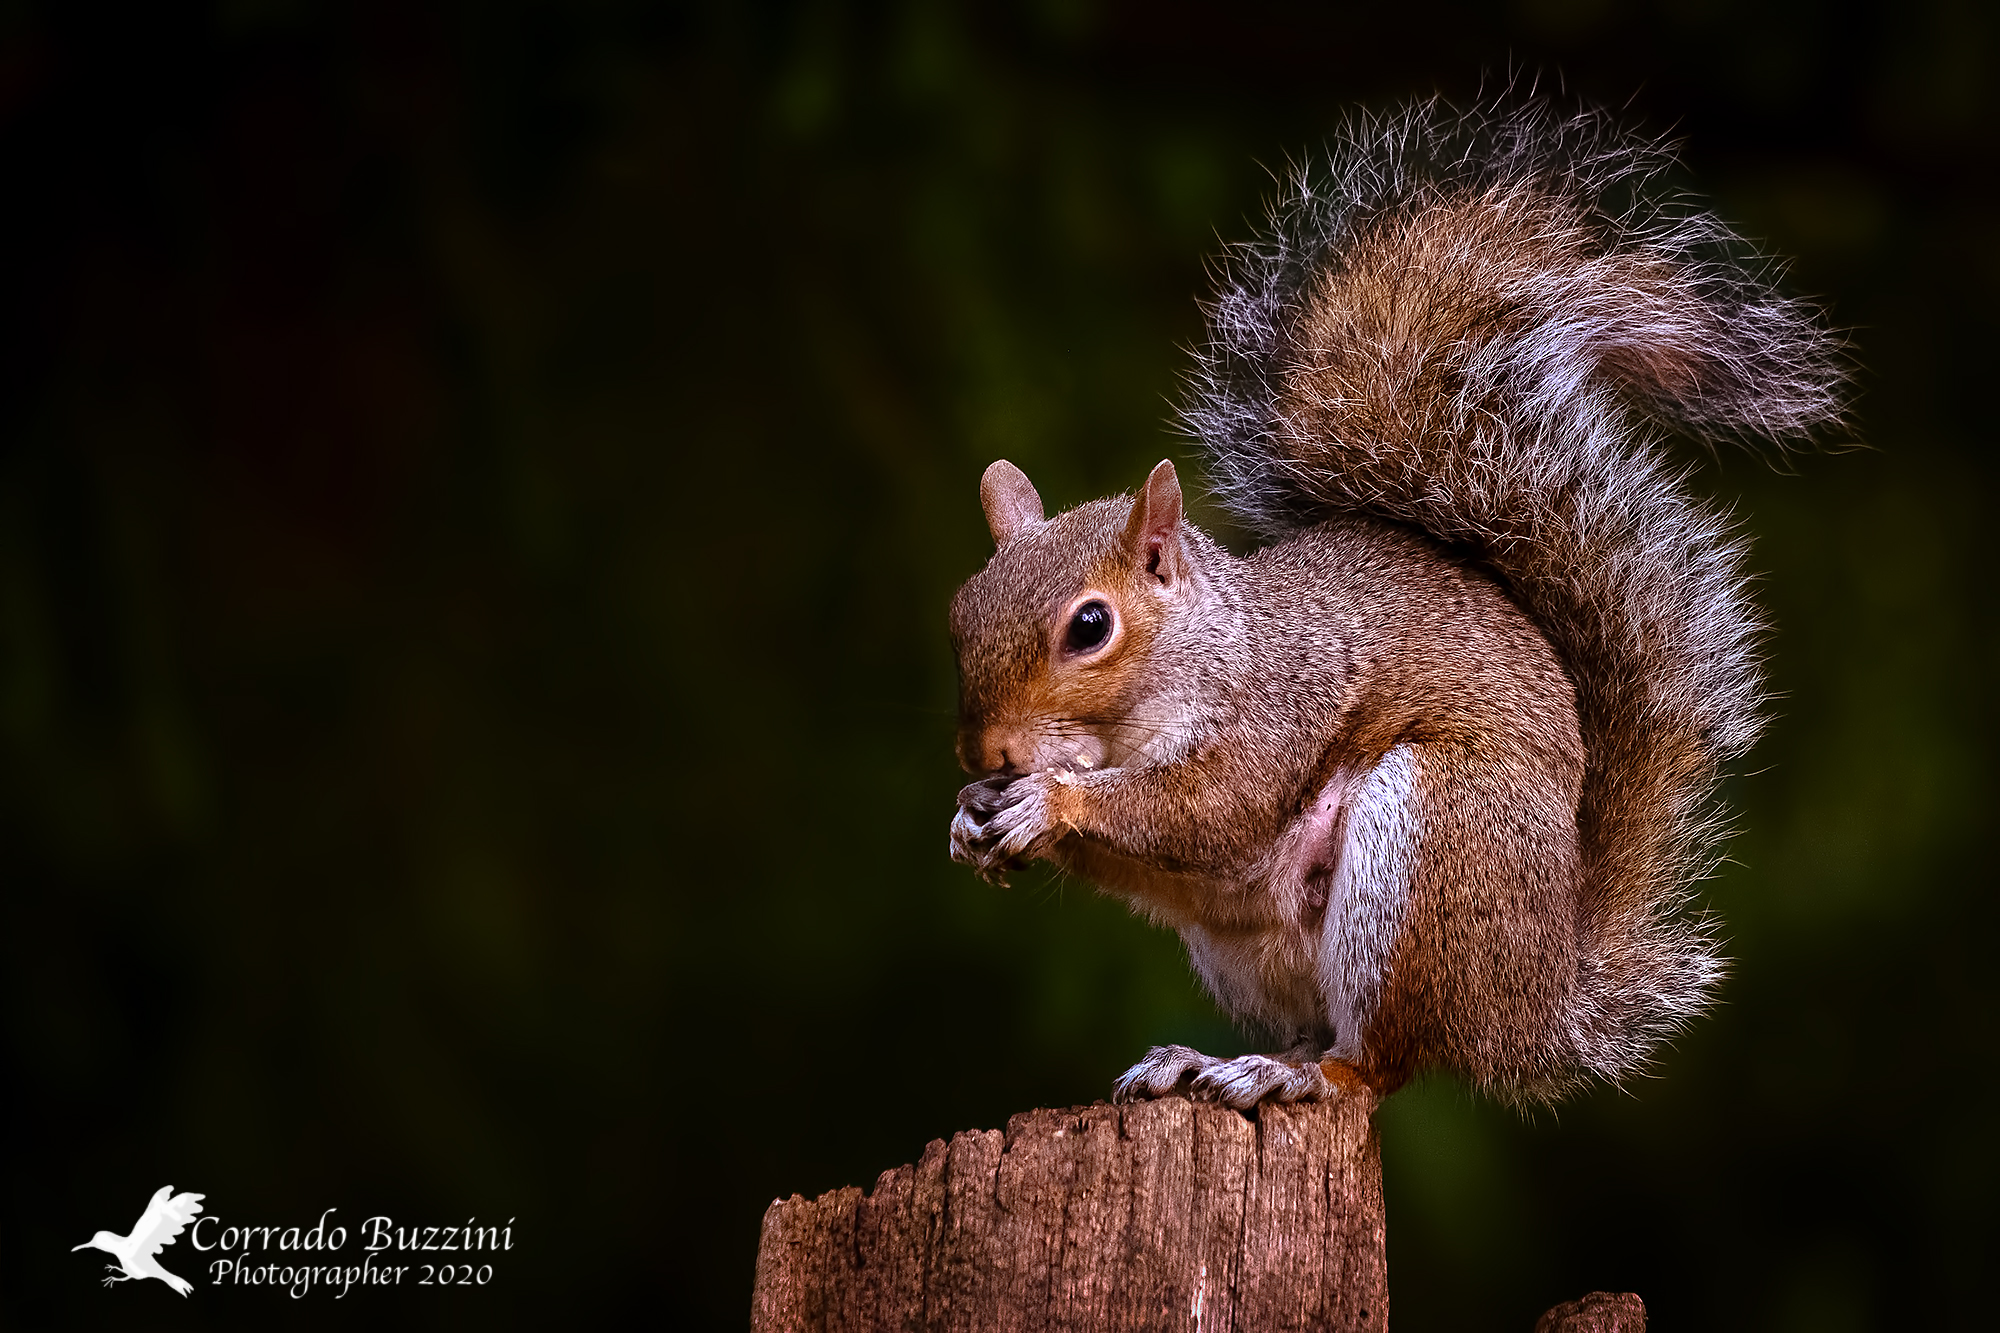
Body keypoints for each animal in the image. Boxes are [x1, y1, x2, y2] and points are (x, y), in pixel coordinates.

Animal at [945, 99, 1845, 1108]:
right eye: (961, 608)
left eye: (1091, 626)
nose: (986, 752)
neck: (1203, 649)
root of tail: (1535, 1004)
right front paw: (974, 812)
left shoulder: (1278, 704)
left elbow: (1210, 808)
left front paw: (1044, 801)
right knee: (1320, 1028)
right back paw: (1210, 1059)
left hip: (1426, 848)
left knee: (1374, 1063)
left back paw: (1296, 1074)